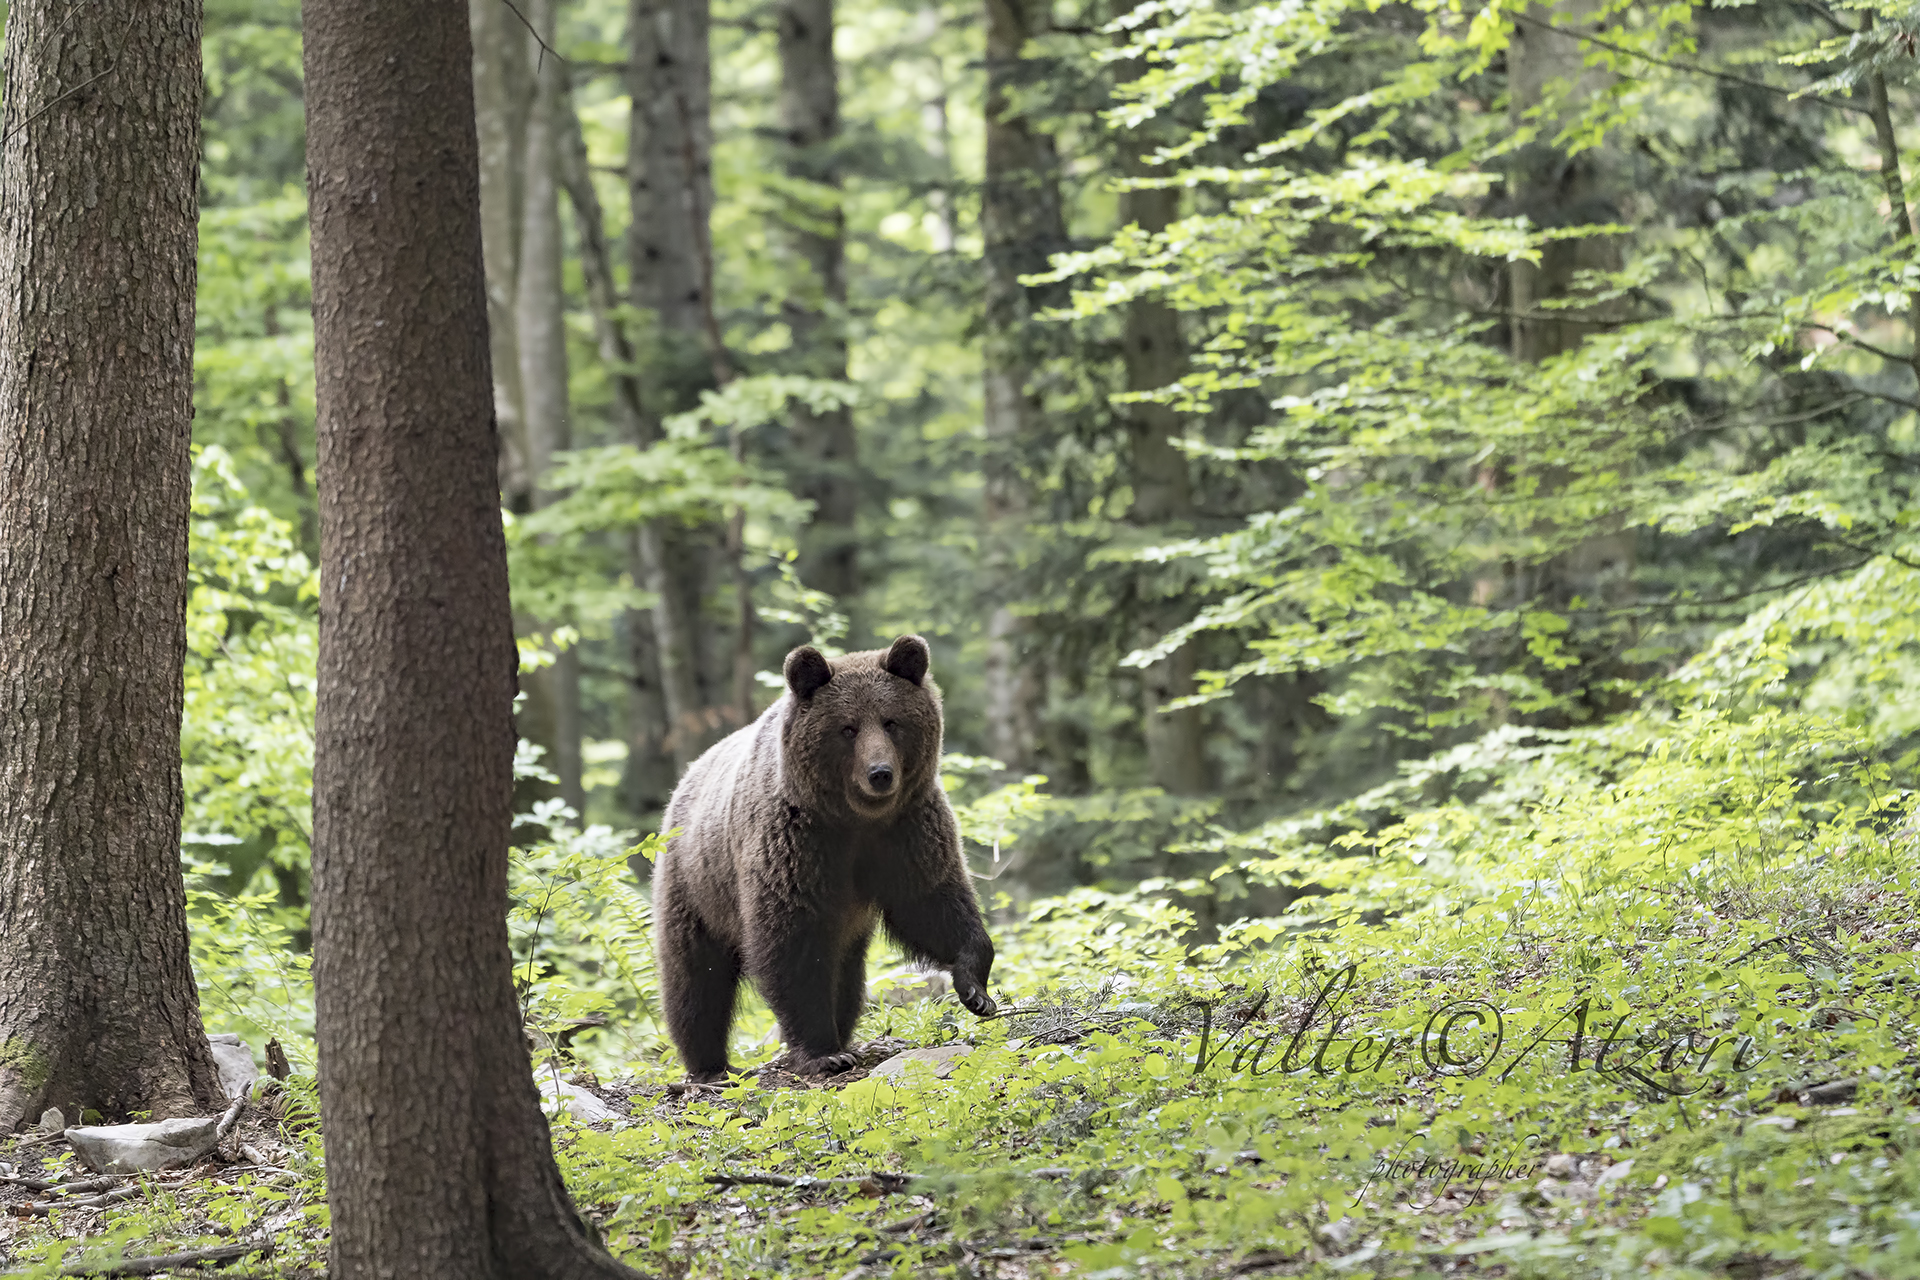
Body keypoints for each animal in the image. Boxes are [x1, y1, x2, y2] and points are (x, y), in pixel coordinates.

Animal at [652, 634, 997, 1080]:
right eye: (847, 728)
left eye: (891, 721)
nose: (880, 773)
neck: (855, 819)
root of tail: (686, 778)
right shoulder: (795, 842)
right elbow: (793, 947)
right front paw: (821, 1052)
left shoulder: (906, 830)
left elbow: (932, 902)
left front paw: (975, 989)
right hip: (696, 884)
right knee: (696, 978)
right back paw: (709, 1065)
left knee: (847, 975)